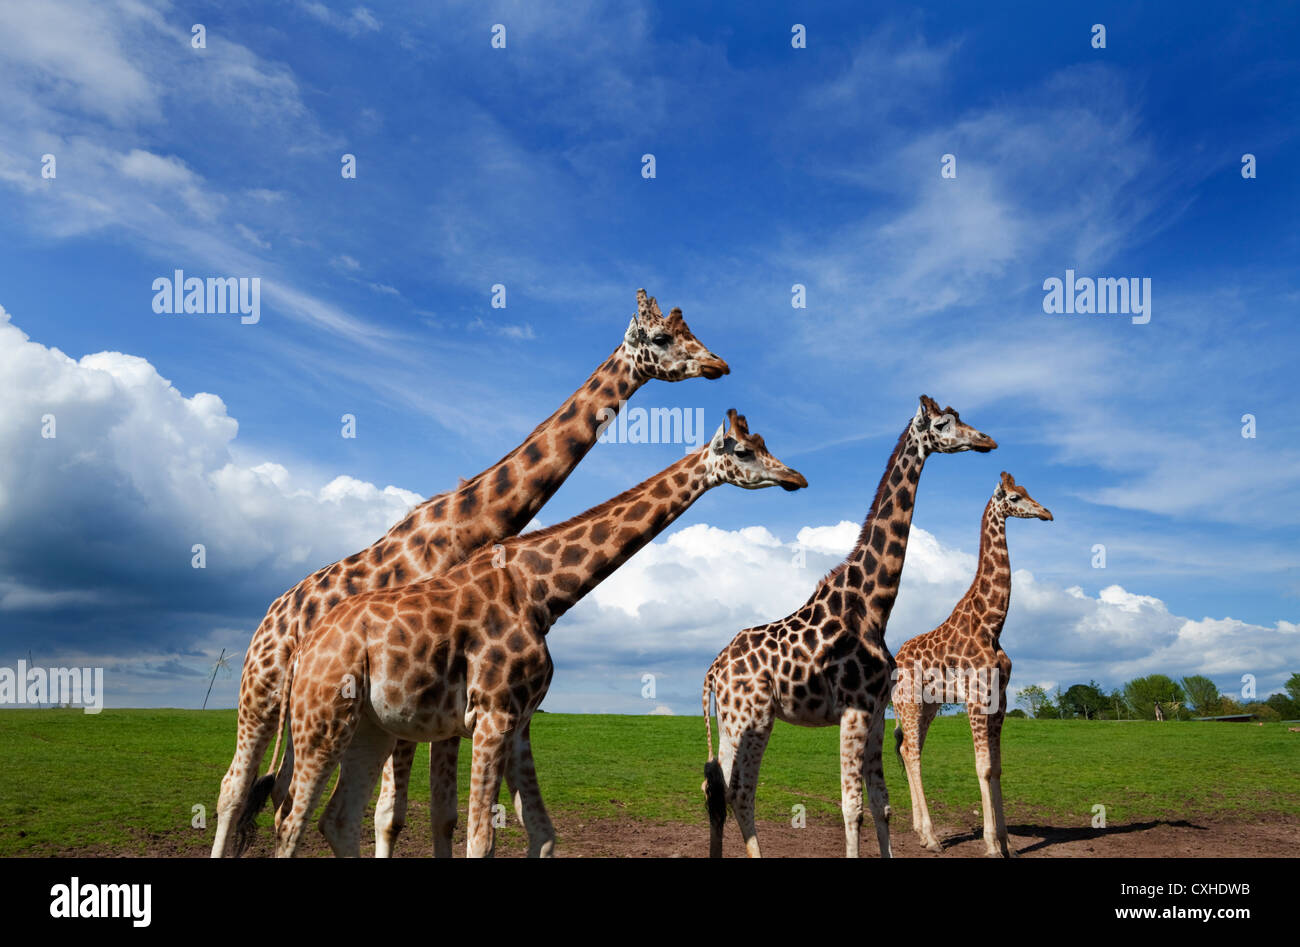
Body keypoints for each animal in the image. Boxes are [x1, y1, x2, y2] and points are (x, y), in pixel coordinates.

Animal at [208, 290, 728, 858]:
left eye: (692, 331)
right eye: (661, 337)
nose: (717, 364)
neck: (466, 526)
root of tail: (274, 611)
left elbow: (443, 815)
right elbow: (393, 814)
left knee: (280, 790)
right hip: (261, 692)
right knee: (235, 788)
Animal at [271, 405, 800, 858]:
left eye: (765, 443)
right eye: (743, 451)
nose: (796, 478)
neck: (543, 594)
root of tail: (303, 647)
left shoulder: (520, 720)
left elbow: (543, 834)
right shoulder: (492, 715)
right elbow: (480, 840)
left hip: (370, 728)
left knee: (337, 819)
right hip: (323, 720)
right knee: (289, 823)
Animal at [702, 392, 993, 858]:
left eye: (960, 417)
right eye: (943, 424)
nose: (986, 440)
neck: (873, 606)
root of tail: (714, 669)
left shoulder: (875, 713)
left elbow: (881, 803)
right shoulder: (853, 710)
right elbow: (851, 807)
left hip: (731, 721)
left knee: (717, 789)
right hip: (753, 717)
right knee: (740, 792)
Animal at [889, 470, 1050, 858]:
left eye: (1027, 491)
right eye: (1015, 497)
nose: (1047, 513)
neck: (992, 623)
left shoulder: (999, 699)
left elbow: (998, 767)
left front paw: (1008, 844)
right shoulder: (976, 698)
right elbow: (983, 766)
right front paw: (991, 845)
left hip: (927, 707)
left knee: (908, 749)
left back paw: (921, 833)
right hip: (911, 704)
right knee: (912, 753)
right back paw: (932, 838)